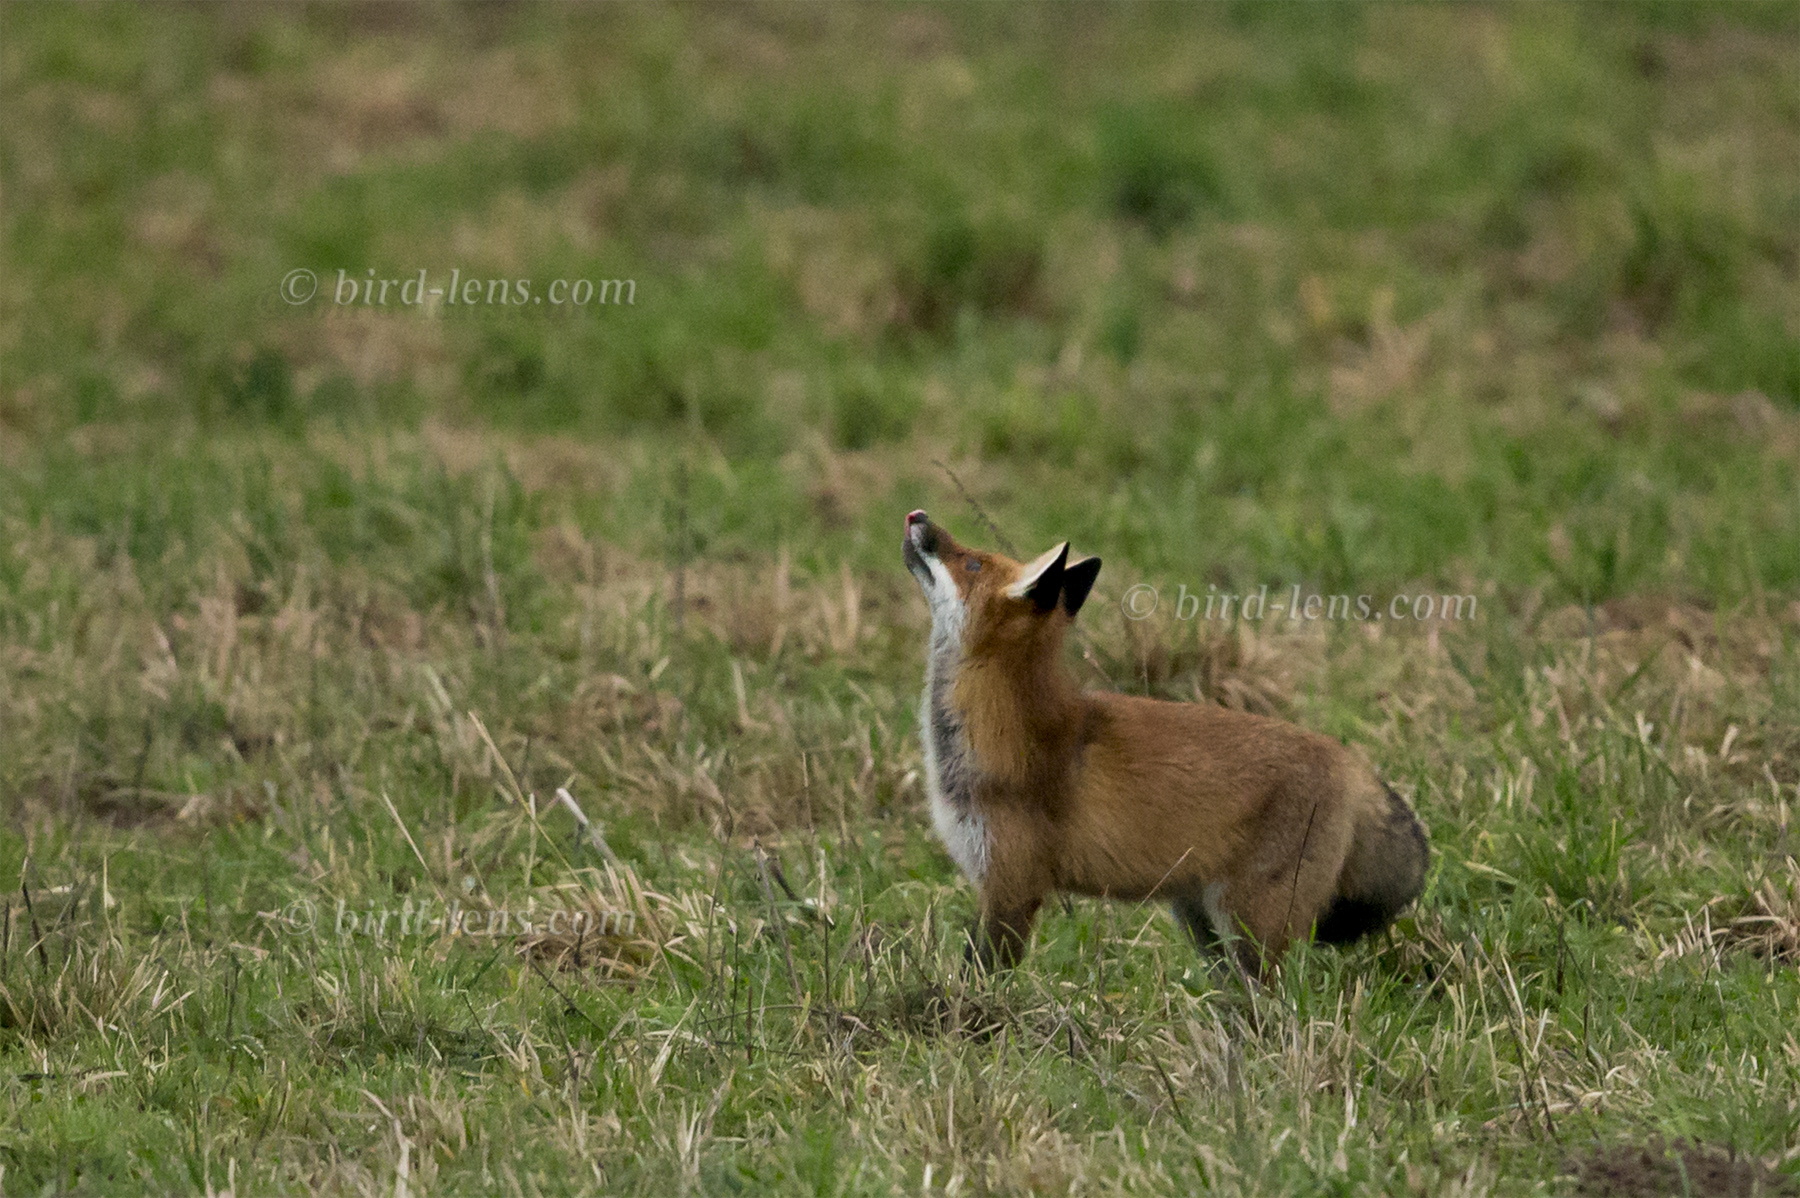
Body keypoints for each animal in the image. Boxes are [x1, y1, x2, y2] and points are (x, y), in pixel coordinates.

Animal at [902, 509, 1428, 977]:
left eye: (972, 563)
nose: (917, 516)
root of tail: (1349, 762)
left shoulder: (1013, 883)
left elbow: (982, 974)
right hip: (1199, 921)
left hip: (1250, 923)